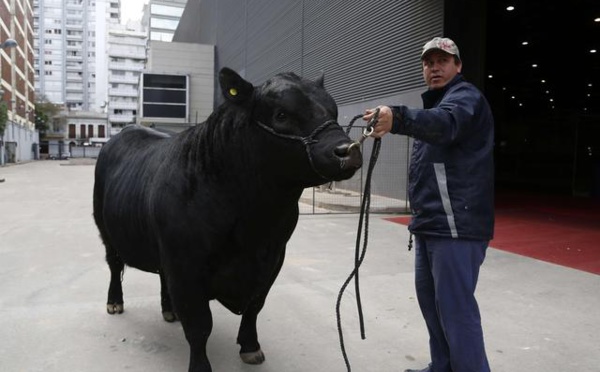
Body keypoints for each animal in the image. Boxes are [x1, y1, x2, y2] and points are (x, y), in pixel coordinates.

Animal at [92, 68, 364, 370]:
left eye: (333, 110)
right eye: (281, 115)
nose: (349, 149)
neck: (253, 223)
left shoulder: (273, 258)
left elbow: (255, 307)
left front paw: (251, 347)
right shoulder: (185, 265)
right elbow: (199, 324)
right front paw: (200, 366)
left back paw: (169, 310)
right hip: (105, 229)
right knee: (115, 265)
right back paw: (114, 302)